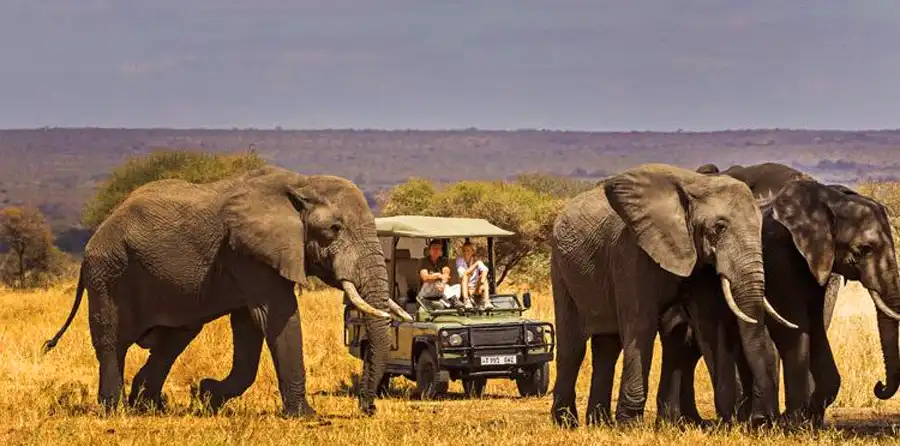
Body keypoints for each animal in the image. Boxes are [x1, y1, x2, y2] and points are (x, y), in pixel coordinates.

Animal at [39, 166, 412, 418]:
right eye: (334, 229)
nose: (367, 407)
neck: (301, 182)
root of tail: (93, 238)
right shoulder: (248, 253)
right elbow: (278, 316)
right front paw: (305, 416)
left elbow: (249, 326)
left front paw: (206, 395)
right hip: (108, 272)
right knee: (112, 341)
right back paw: (116, 410)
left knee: (172, 341)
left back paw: (149, 407)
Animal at [548, 162, 796, 426]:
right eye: (719, 228)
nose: (760, 420)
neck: (696, 186)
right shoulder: (632, 253)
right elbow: (641, 326)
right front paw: (629, 425)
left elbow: (707, 326)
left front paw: (728, 421)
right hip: (560, 269)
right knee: (572, 346)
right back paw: (566, 422)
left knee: (607, 347)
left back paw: (599, 422)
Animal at [656, 162, 900, 426]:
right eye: (864, 249)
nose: (879, 386)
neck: (828, 200)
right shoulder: (781, 258)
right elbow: (793, 328)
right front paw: (791, 422)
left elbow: (815, 327)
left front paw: (804, 419)